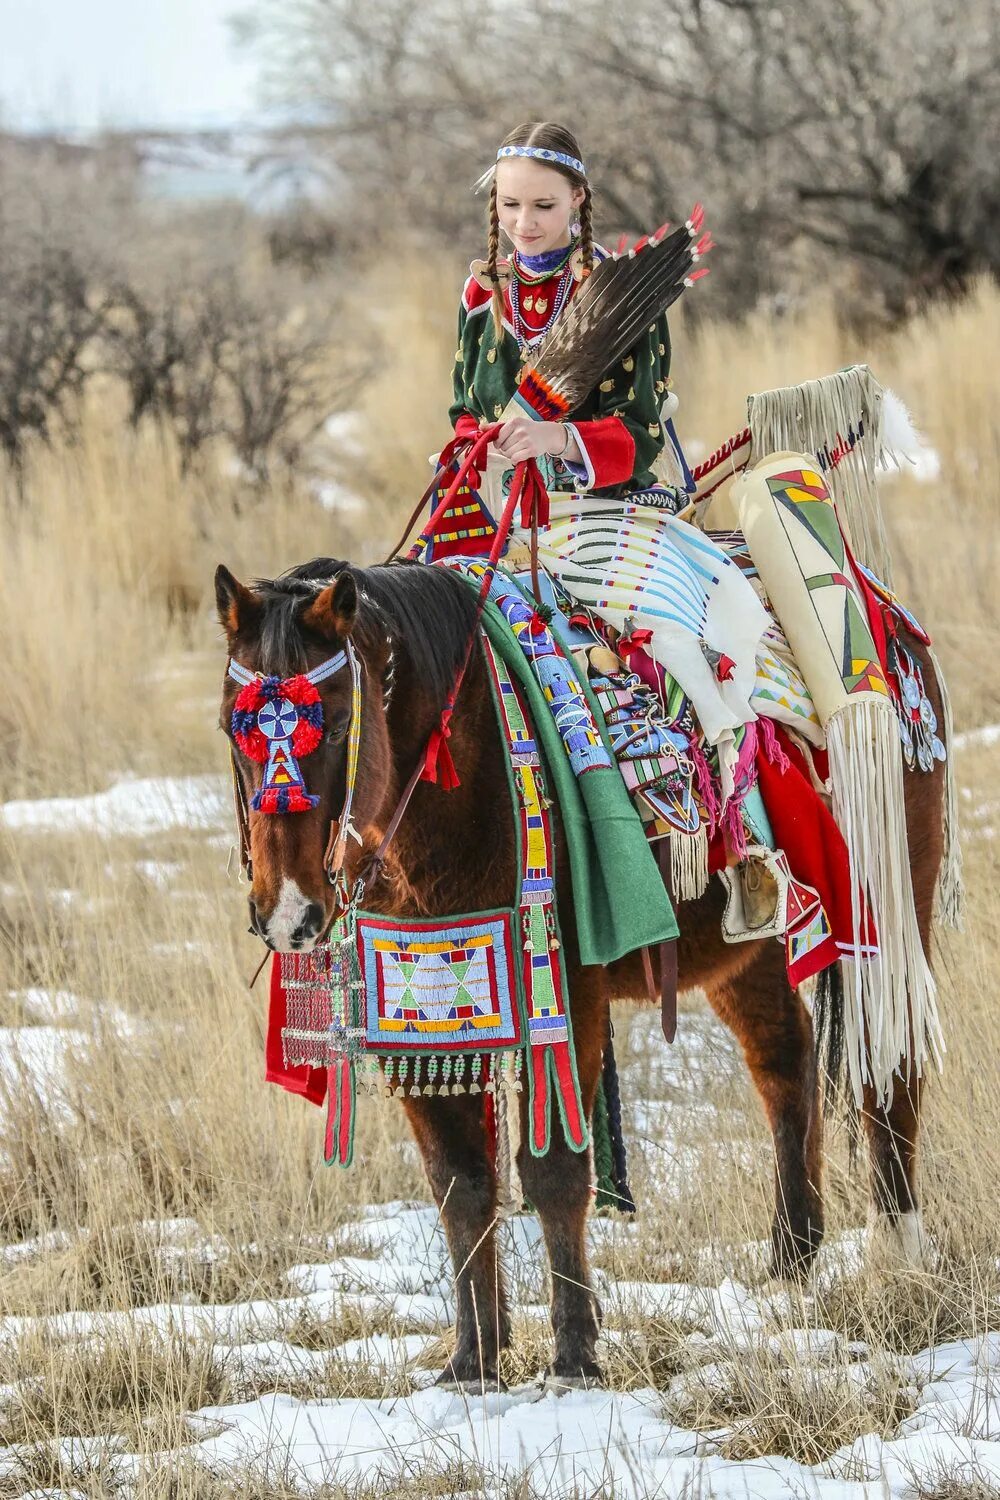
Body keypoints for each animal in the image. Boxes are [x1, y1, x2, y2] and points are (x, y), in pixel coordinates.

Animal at [215, 555, 953, 1392]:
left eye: (337, 724)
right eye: (233, 728)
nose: (287, 913)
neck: (462, 783)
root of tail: (892, 626)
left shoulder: (567, 995)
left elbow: (554, 1173)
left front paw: (573, 1357)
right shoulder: (416, 1003)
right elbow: (460, 1181)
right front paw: (472, 1363)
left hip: (890, 911)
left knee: (889, 1072)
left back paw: (901, 1256)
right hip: (746, 946)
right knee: (785, 1059)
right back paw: (791, 1263)